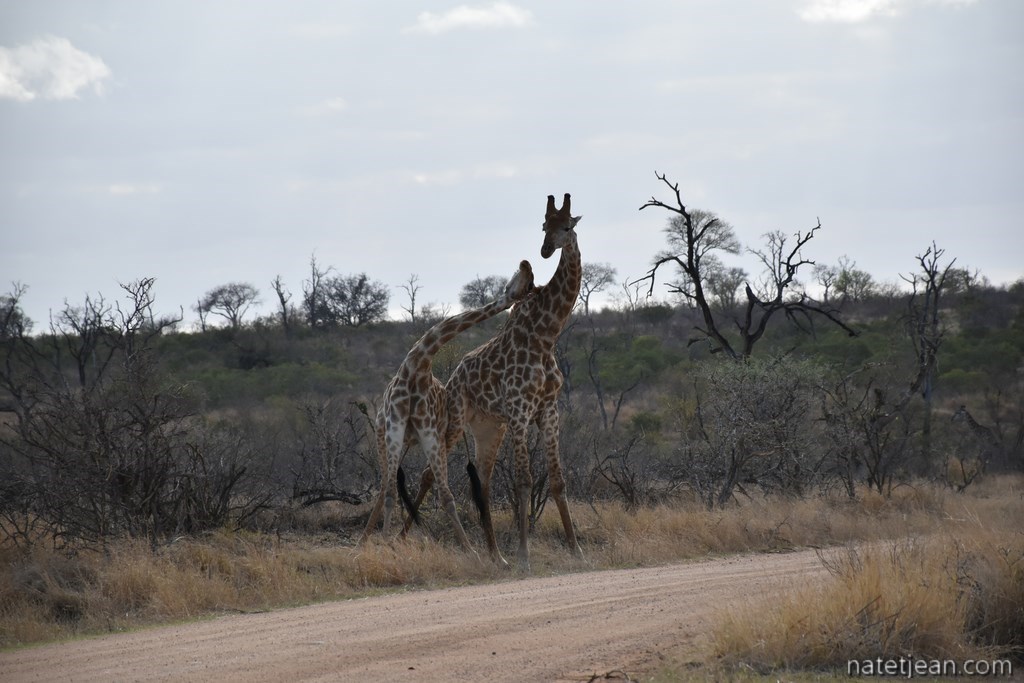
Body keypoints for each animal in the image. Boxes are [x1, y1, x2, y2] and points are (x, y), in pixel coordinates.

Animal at [360, 259, 535, 549]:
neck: (417, 368)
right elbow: (391, 494)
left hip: (429, 439)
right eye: (524, 281)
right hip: (383, 436)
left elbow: (446, 496)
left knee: (398, 484)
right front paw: (385, 545)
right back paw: (361, 542)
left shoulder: (430, 433)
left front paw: (472, 551)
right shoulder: (395, 428)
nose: (527, 264)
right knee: (385, 486)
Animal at [410, 193, 584, 571]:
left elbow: (558, 480)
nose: (545, 250)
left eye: (566, 226)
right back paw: (406, 536)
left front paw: (577, 550)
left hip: (490, 428)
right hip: (456, 421)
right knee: (430, 474)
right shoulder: (520, 411)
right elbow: (523, 481)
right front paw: (524, 557)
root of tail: (451, 379)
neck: (546, 335)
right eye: (544, 226)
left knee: (484, 483)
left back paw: (495, 555)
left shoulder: (548, 410)